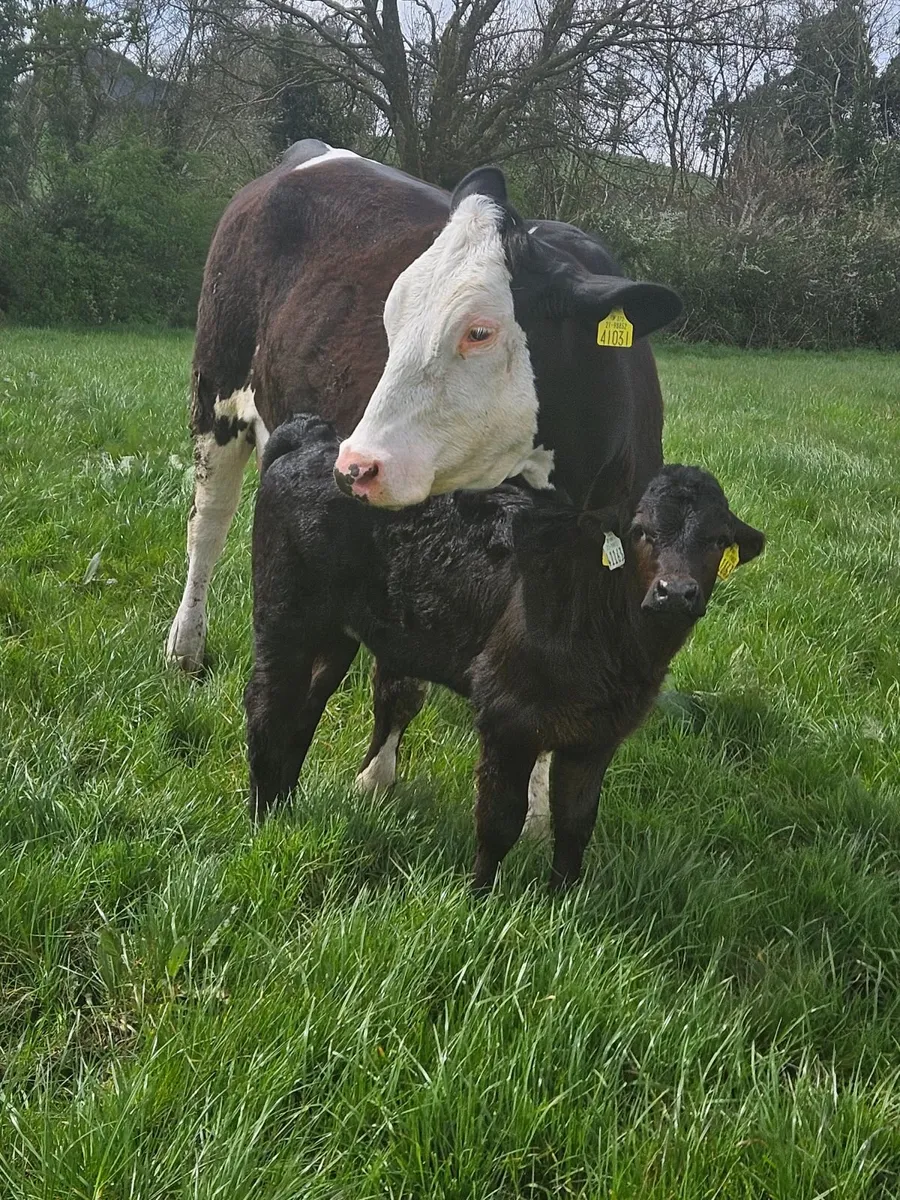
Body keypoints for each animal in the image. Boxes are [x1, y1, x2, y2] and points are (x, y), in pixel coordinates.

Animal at [166, 139, 682, 674]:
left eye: (479, 331)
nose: (356, 465)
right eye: (391, 314)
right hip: (217, 390)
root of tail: (313, 151)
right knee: (208, 520)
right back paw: (186, 646)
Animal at [245, 413, 764, 890]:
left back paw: (284, 802)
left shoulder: (597, 735)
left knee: (304, 710)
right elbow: (499, 820)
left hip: (336, 632)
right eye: (641, 531)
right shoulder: (507, 712)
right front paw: (479, 896)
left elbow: (575, 823)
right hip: (284, 614)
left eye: (719, 540)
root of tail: (314, 441)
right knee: (267, 707)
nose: (675, 592)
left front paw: (562, 901)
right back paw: (260, 817)